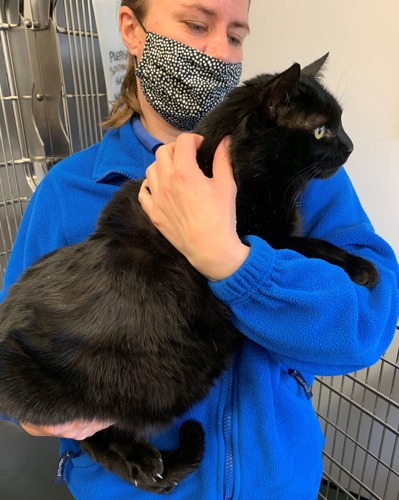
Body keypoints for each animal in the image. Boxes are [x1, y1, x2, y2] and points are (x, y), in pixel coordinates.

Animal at [0, 53, 378, 492]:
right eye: (321, 130)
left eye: (341, 123)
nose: (350, 146)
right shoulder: (257, 237)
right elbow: (309, 246)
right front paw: (361, 267)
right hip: (55, 392)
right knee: (85, 433)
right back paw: (143, 460)